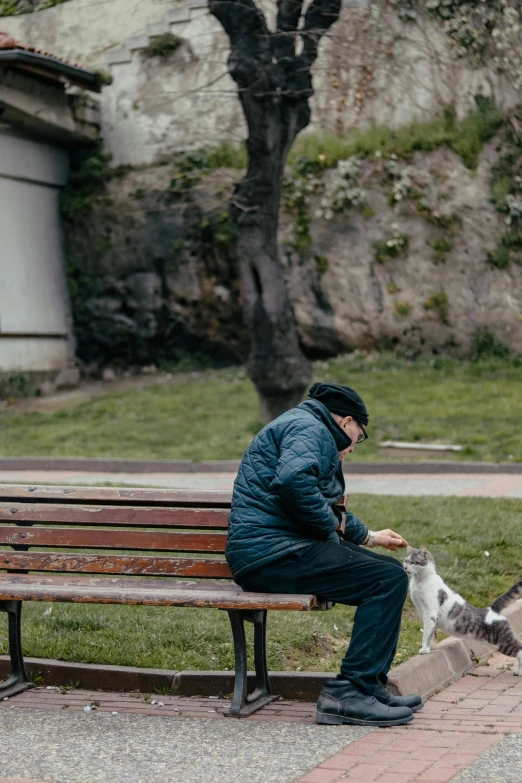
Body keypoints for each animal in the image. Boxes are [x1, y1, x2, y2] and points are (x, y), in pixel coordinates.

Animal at [402, 544, 520, 672]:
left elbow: (427, 633)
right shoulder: (424, 612)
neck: (419, 581)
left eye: (413, 562)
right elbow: (432, 632)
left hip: (502, 642)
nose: (405, 567)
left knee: (520, 650)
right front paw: (431, 646)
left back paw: (518, 672)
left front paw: (424, 648)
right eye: (406, 560)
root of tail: (491, 610)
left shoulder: (430, 612)